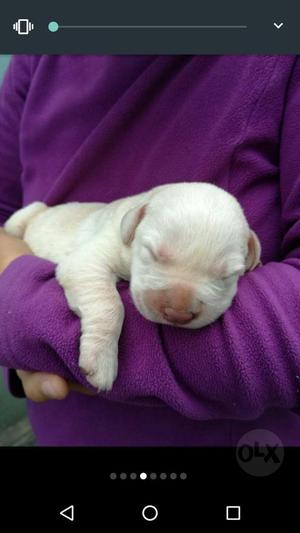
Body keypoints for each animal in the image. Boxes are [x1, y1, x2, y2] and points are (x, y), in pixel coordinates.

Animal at [4, 183, 260, 390]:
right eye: (152, 253)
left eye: (227, 275)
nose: (177, 313)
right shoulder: (90, 258)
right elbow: (109, 305)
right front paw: (101, 358)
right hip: (27, 213)